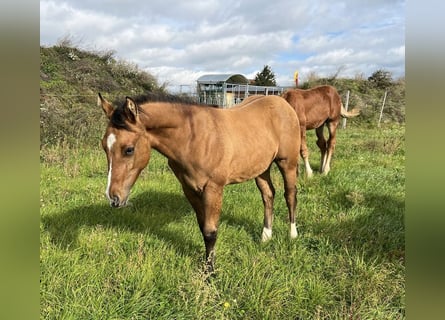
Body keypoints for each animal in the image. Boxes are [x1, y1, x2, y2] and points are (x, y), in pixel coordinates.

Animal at [96, 92, 298, 272]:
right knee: (268, 194)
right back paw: (266, 236)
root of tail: (282, 102)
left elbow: (210, 232)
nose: (114, 198)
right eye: (104, 146)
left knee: (290, 195)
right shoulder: (190, 189)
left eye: (129, 149)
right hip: (262, 168)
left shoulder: (213, 189)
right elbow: (203, 228)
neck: (193, 138)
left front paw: (210, 272)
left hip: (287, 163)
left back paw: (293, 234)